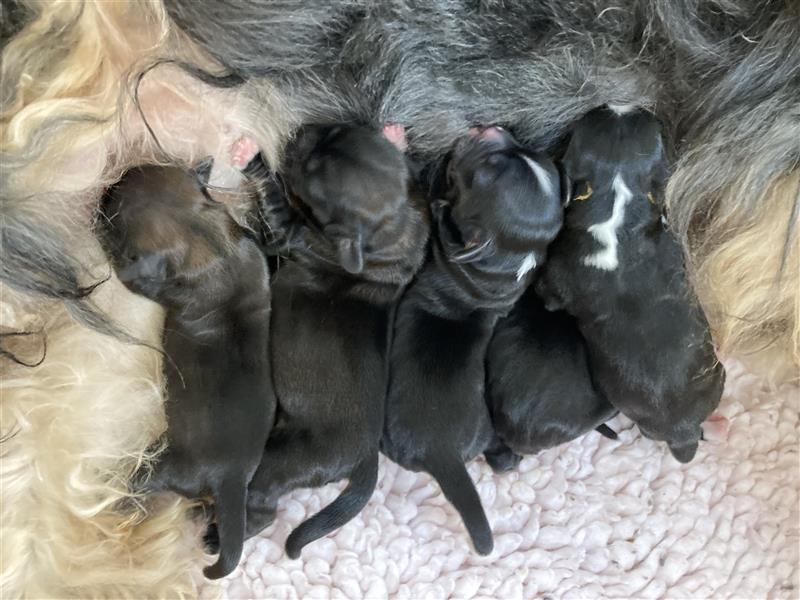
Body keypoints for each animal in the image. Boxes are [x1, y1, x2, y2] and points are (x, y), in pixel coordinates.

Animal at [99, 166, 276, 580]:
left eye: (115, 213)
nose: (108, 188)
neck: (206, 239)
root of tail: (229, 478)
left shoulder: (146, 279)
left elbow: (127, 274)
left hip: (164, 467)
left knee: (141, 484)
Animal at [382, 127, 564, 556]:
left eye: (485, 172)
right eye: (520, 149)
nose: (492, 130)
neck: (508, 262)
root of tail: (442, 451)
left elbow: (428, 207)